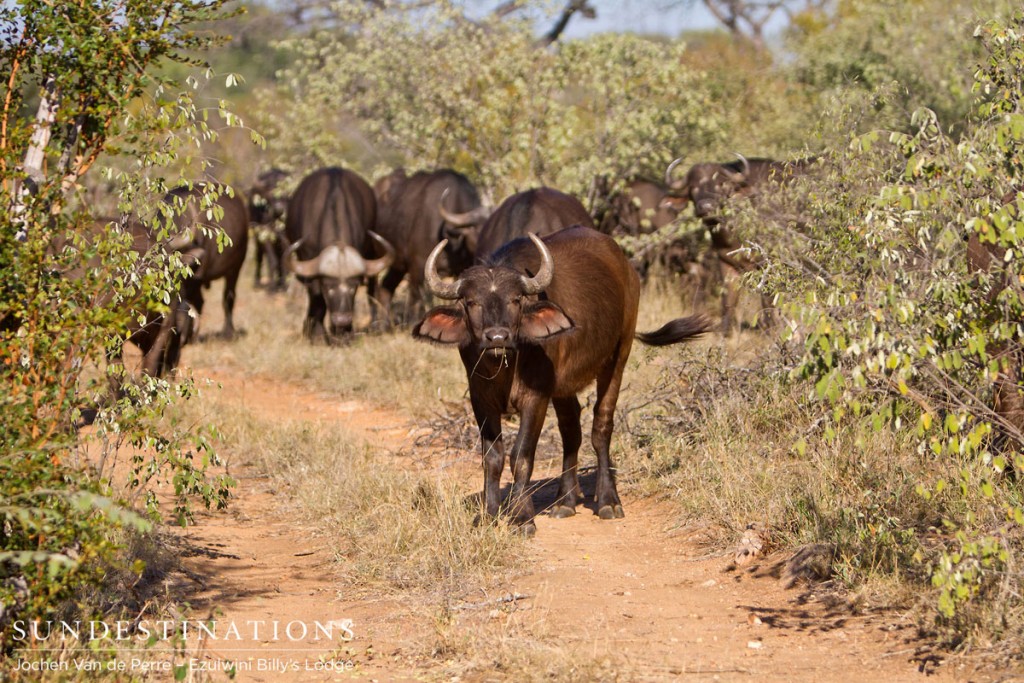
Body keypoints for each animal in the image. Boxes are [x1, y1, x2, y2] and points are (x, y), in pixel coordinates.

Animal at [286, 165, 393, 342]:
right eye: (327, 286)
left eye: (353, 286)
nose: (342, 320)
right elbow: (317, 299)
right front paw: (317, 334)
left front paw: (344, 334)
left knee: (372, 288)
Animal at [372, 167, 483, 323]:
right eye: (476, 229)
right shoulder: (417, 267)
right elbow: (416, 299)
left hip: (397, 265)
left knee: (386, 288)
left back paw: (384, 323)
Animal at [411, 227, 708, 536]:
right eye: (472, 302)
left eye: (516, 300)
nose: (497, 337)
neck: (506, 366)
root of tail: (627, 269)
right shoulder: (480, 398)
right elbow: (492, 457)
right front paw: (488, 515)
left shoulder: (536, 397)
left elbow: (521, 456)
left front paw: (522, 518)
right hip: (564, 387)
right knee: (571, 430)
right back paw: (565, 501)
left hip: (619, 355)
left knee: (601, 426)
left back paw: (608, 500)